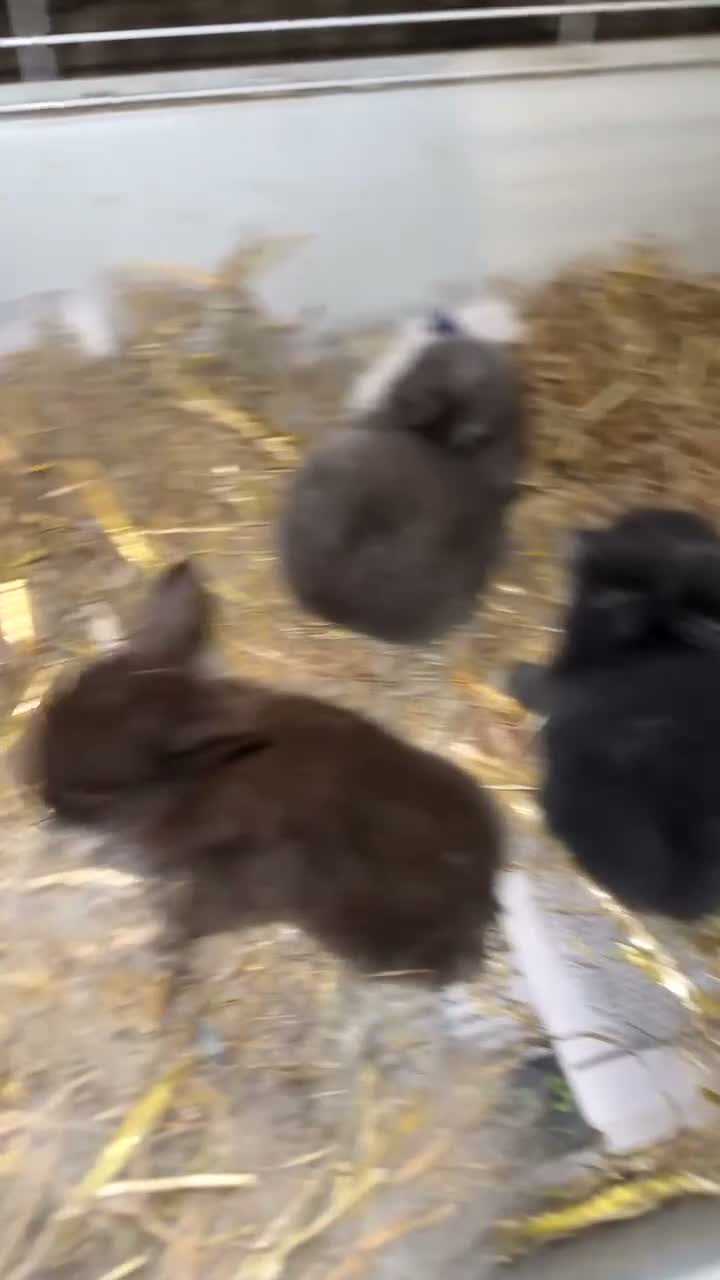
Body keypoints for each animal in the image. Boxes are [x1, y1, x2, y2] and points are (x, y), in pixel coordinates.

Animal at [14, 560, 503, 985]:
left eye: (96, 792)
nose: (37, 792)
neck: (197, 781)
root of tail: (482, 893)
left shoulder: (249, 871)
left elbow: (193, 913)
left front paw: (169, 961)